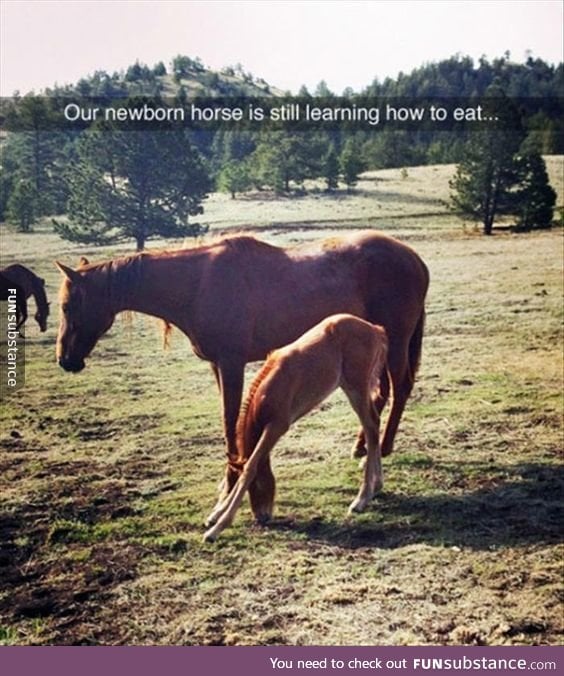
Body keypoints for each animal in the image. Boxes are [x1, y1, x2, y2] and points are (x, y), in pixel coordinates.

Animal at [56, 232, 428, 502]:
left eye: (67, 305)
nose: (65, 359)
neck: (197, 284)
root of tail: (415, 260)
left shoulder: (231, 363)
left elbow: (229, 421)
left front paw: (230, 480)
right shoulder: (218, 367)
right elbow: (229, 423)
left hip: (395, 343)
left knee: (400, 388)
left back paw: (383, 448)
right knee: (381, 394)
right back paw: (364, 446)